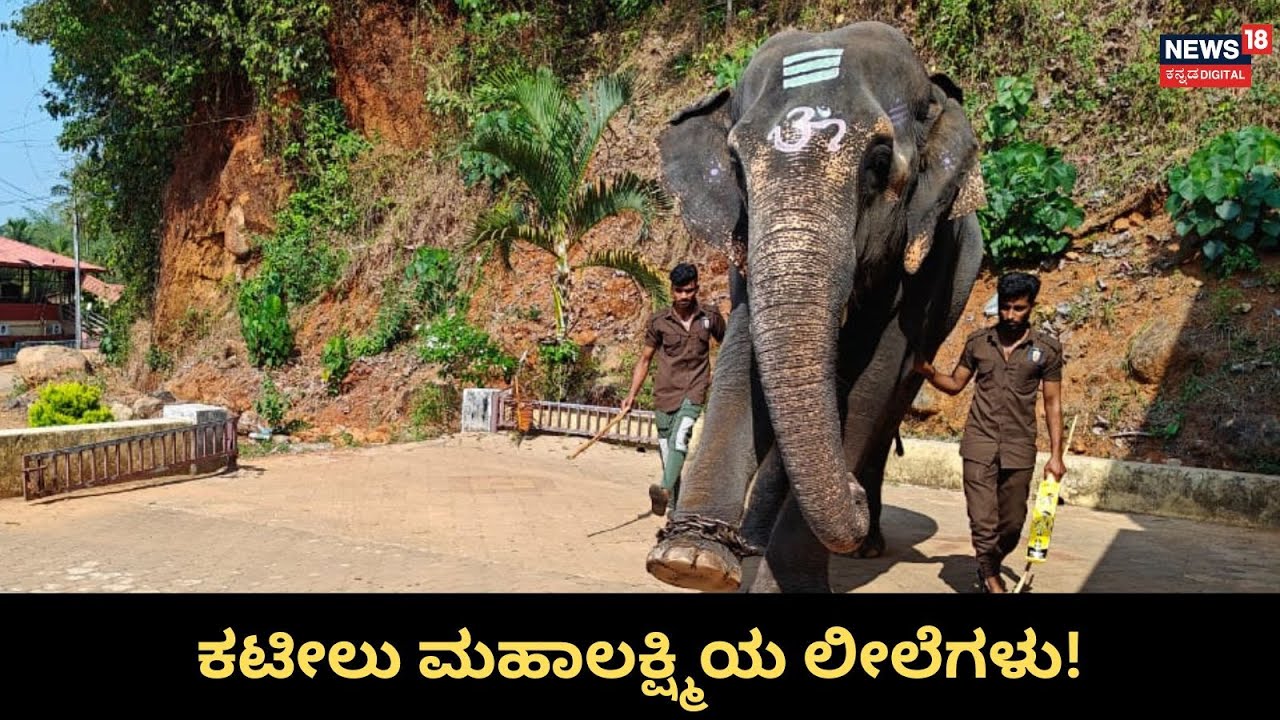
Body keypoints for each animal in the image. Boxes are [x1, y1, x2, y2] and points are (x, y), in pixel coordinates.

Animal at [645, 20, 987, 593]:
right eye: (735, 167)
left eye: (878, 164)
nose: (850, 495)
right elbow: (744, 352)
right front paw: (691, 560)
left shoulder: (928, 253)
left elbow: (874, 372)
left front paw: (786, 582)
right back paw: (757, 537)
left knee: (891, 400)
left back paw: (864, 539)